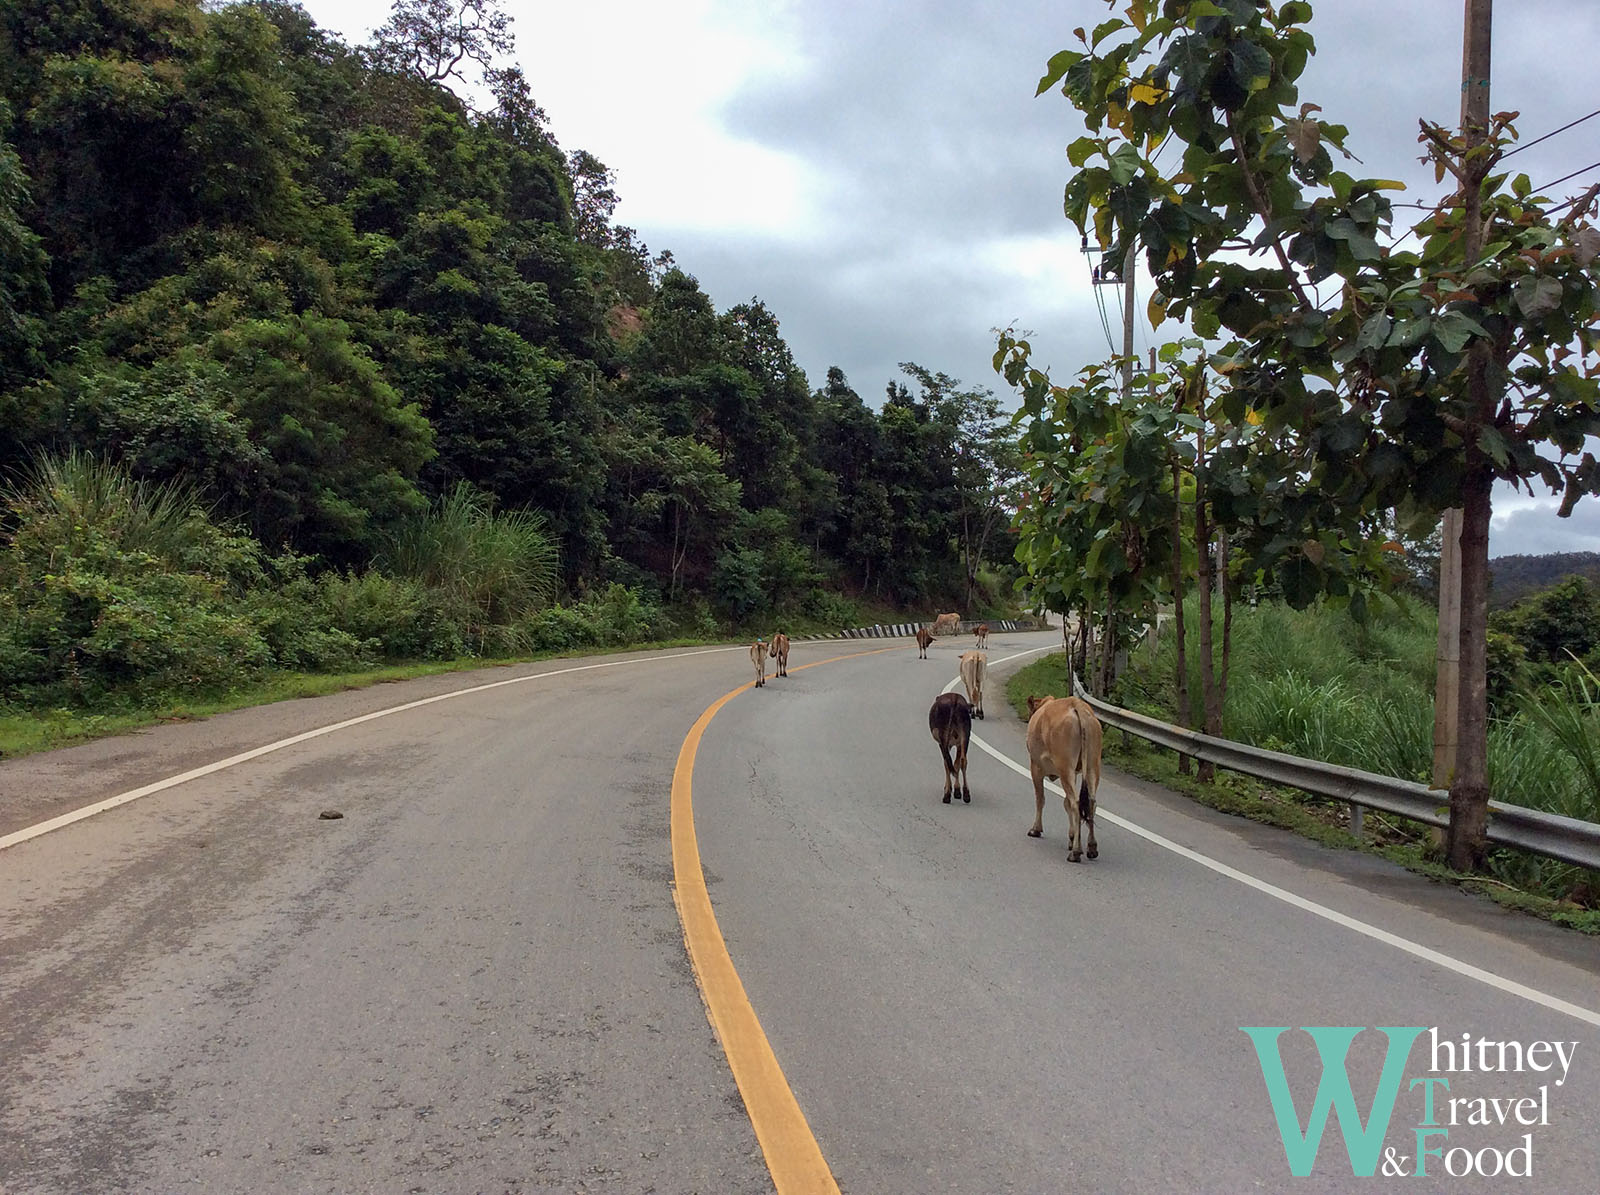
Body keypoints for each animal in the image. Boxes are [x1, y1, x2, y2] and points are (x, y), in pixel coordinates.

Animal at [1024, 697, 1100, 863]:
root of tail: (1076, 704)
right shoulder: (1077, 774)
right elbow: (1065, 803)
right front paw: (1072, 837)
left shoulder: (1035, 767)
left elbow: (1040, 799)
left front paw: (1036, 829)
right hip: (1092, 766)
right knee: (1090, 802)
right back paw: (1091, 848)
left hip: (1065, 767)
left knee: (1075, 803)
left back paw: (1076, 853)